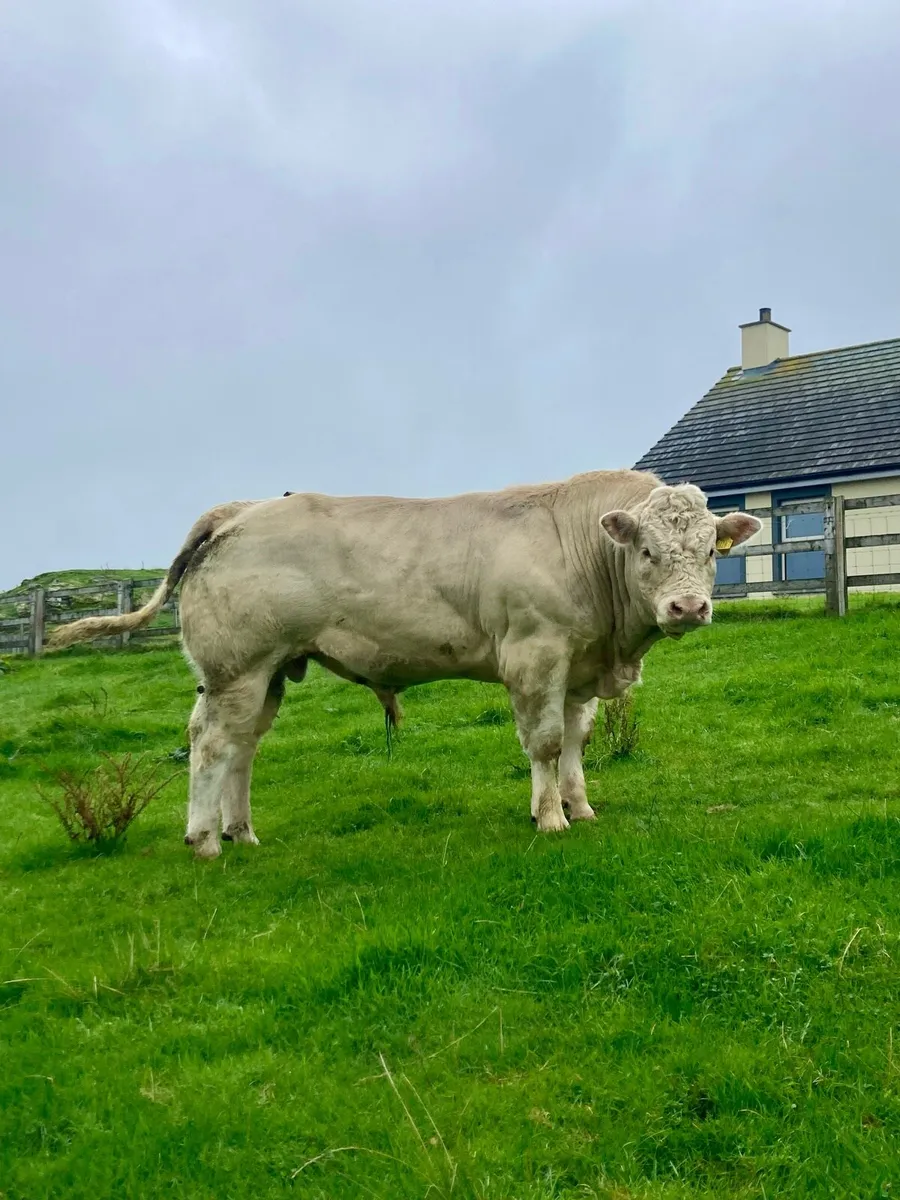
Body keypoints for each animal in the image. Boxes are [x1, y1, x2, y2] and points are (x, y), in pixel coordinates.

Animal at [48, 469, 760, 858]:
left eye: (710, 549)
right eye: (646, 550)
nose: (688, 606)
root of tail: (241, 509)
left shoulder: (579, 667)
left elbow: (577, 740)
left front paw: (580, 807)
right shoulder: (535, 656)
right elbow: (546, 742)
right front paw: (550, 817)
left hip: (267, 671)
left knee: (241, 748)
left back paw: (240, 833)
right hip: (236, 669)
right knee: (211, 745)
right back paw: (202, 839)